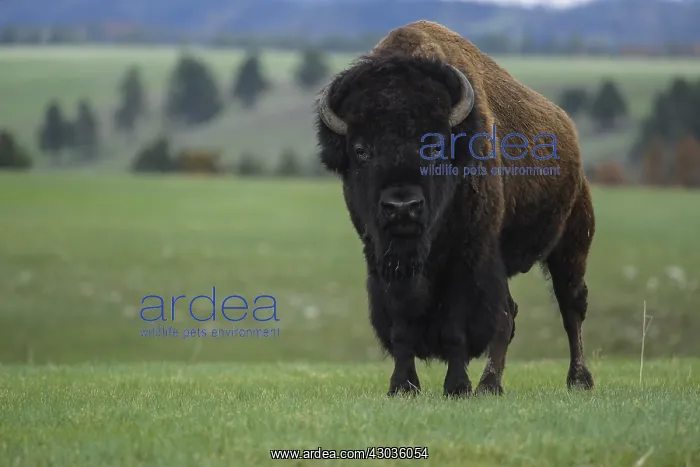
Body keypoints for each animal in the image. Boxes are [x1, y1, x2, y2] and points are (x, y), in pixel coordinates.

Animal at [314, 20, 596, 397]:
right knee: (509, 314)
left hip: (570, 246)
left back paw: (571, 380)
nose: (402, 207)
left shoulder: (465, 260)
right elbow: (401, 329)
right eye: (361, 150)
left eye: (434, 146)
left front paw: (458, 386)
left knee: (569, 306)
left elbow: (455, 328)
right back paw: (492, 383)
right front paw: (402, 386)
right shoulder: (382, 260)